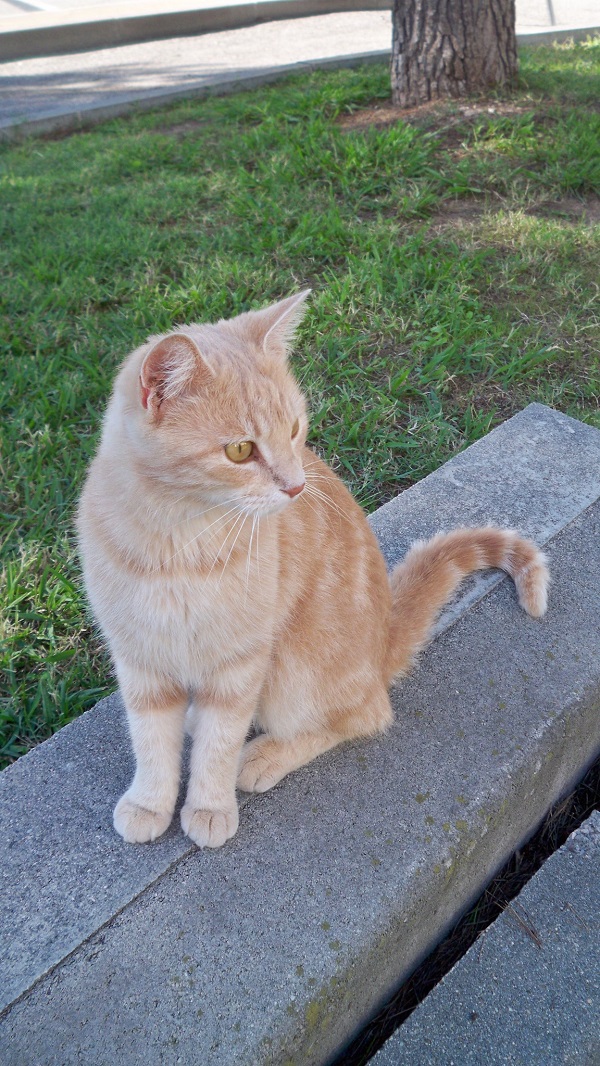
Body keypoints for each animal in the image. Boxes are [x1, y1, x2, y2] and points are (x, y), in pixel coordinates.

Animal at [77, 292, 549, 848]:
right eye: (240, 449)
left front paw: (210, 805)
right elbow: (151, 740)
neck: (176, 538)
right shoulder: (140, 657)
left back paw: (265, 755)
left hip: (293, 672)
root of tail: (383, 640)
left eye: (294, 430)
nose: (296, 486)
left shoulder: (242, 663)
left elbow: (219, 741)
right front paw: (150, 802)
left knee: (366, 715)